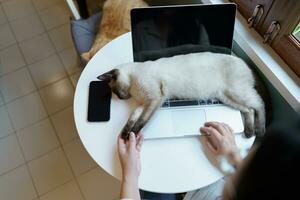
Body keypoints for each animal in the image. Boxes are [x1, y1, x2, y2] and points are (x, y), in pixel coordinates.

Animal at [98, 51, 264, 139]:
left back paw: (260, 130)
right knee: (249, 110)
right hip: (227, 96)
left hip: (237, 91)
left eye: (115, 92)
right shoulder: (144, 103)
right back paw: (249, 132)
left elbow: (140, 122)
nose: (121, 98)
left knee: (259, 104)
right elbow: (132, 117)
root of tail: (244, 63)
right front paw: (125, 134)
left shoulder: (154, 99)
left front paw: (131, 134)